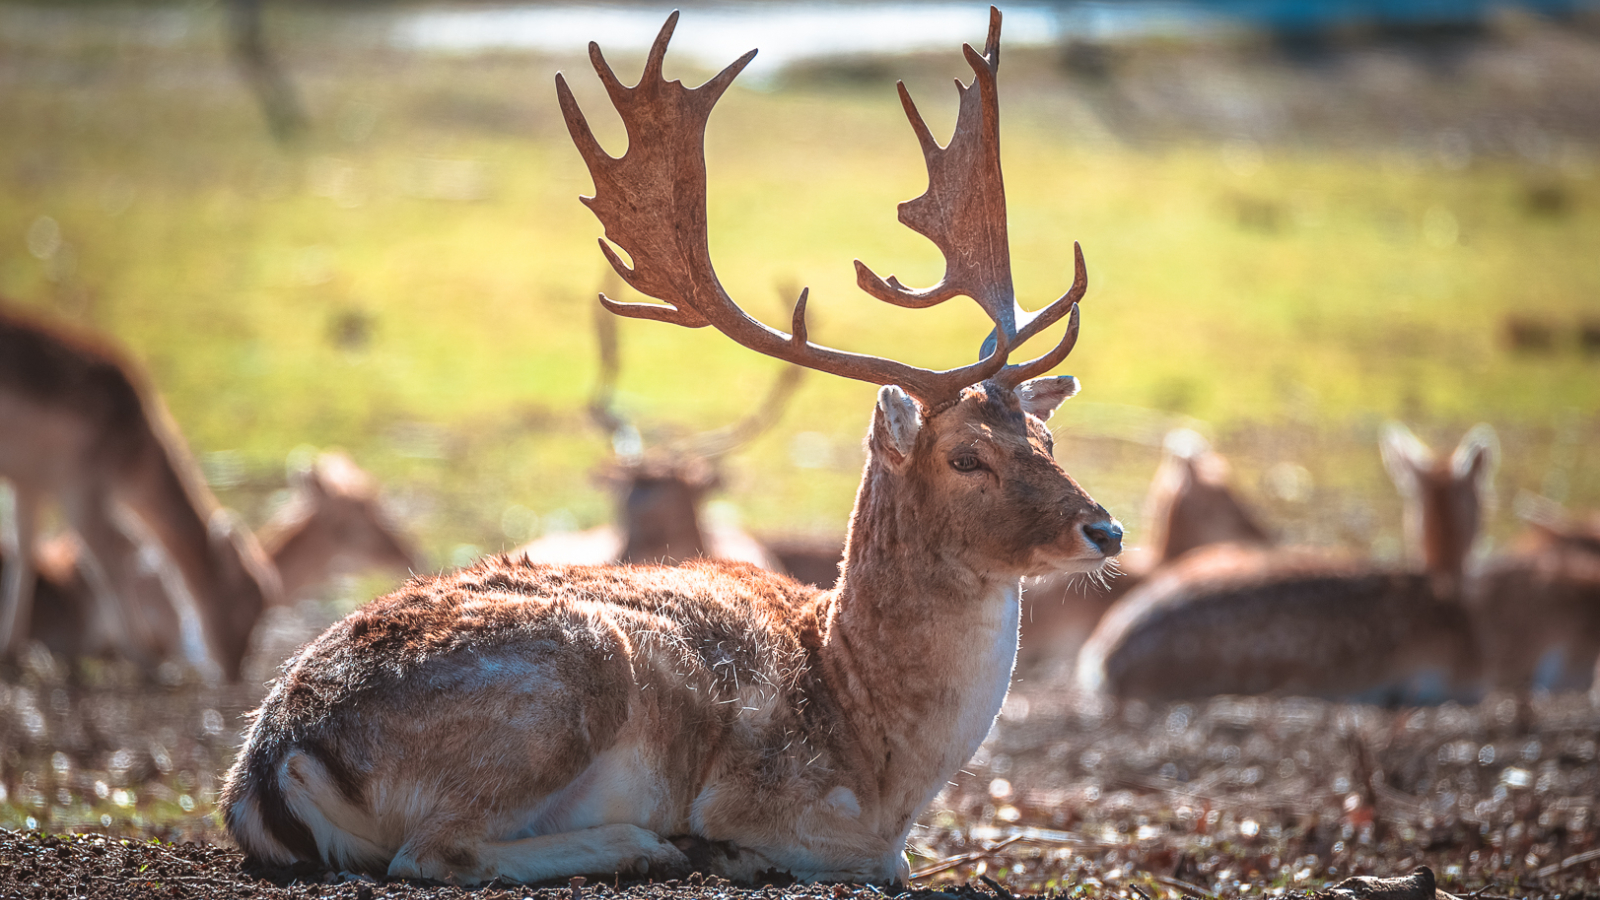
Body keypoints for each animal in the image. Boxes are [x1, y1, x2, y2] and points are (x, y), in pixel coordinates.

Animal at [0, 297, 280, 675]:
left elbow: (25, 552)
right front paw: (146, 659)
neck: (137, 464)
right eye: (249, 599)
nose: (235, 668)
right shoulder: (82, 487)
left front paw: (11, 651)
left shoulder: (31, 483)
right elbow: (109, 567)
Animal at [222, 10, 1126, 883]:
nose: (1107, 529)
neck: (883, 761)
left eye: (1046, 436)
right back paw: (648, 845)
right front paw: (722, 847)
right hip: (566, 679)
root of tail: (272, 763)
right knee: (436, 850)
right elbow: (871, 859)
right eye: (965, 456)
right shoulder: (781, 801)